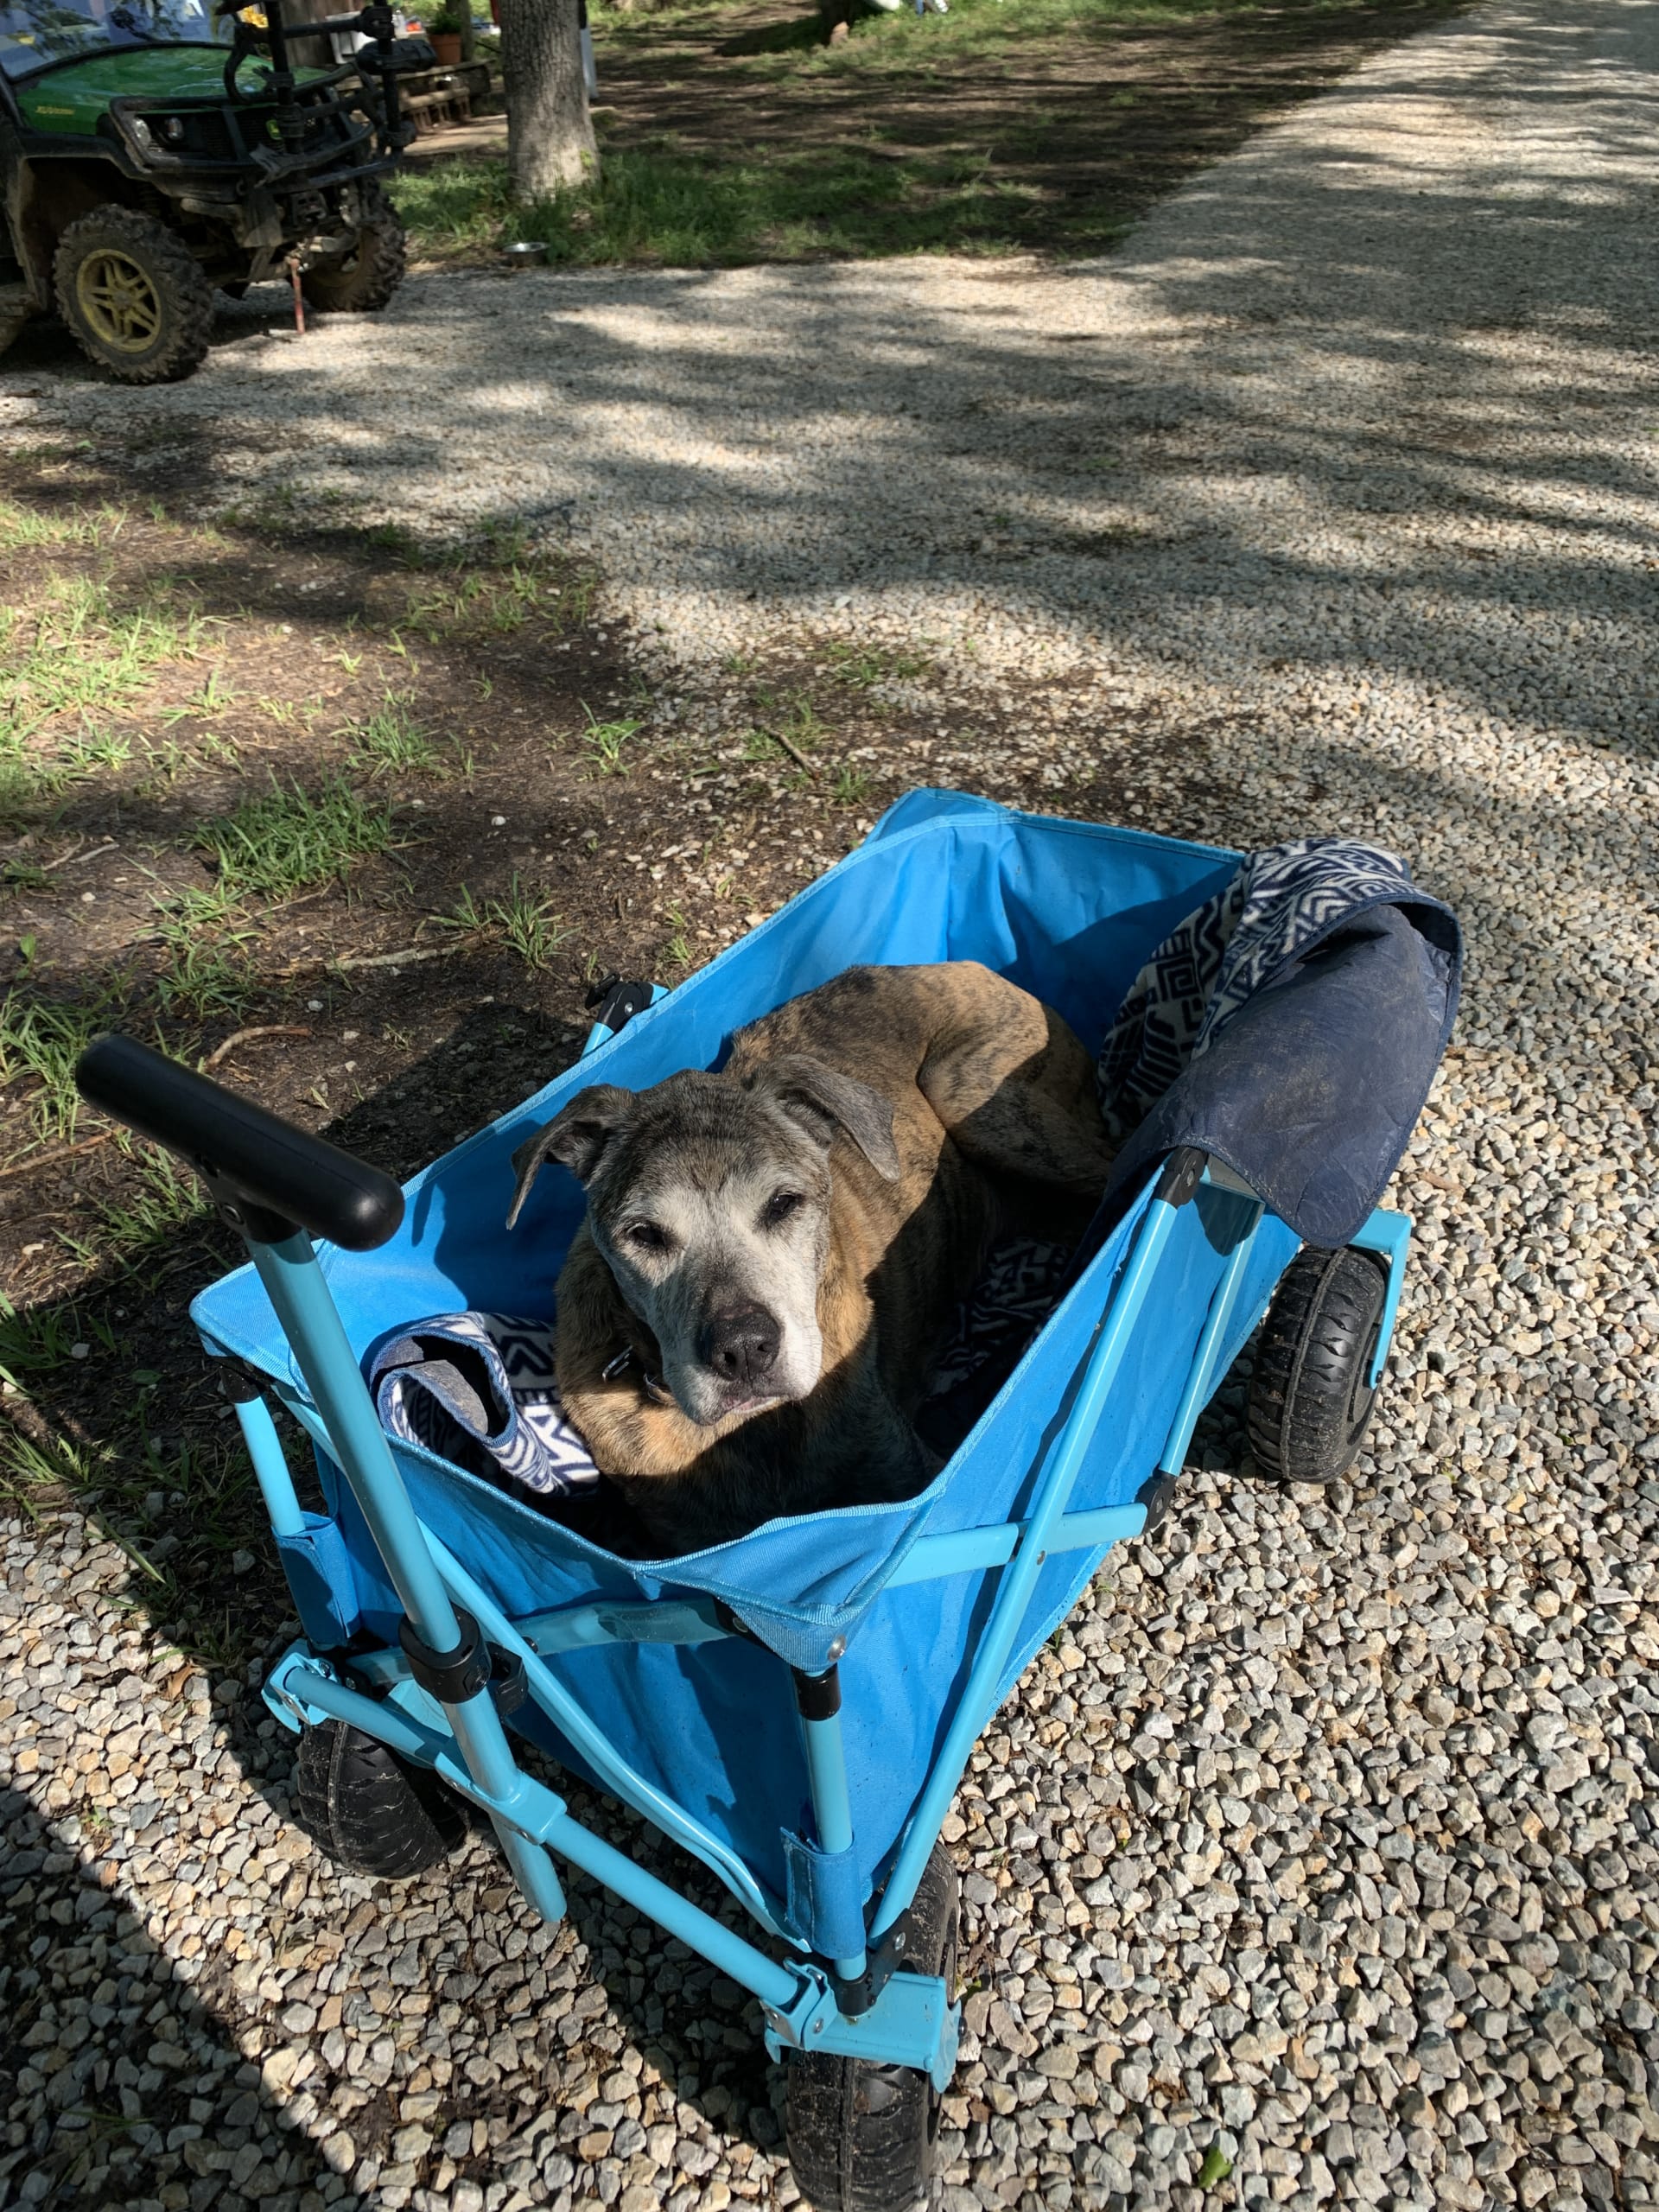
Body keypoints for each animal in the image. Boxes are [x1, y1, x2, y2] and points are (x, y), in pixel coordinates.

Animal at [506, 969, 1119, 1557]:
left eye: (784, 1203)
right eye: (644, 1234)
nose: (743, 1350)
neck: (755, 1429)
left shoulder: (901, 1475)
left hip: (971, 1095)